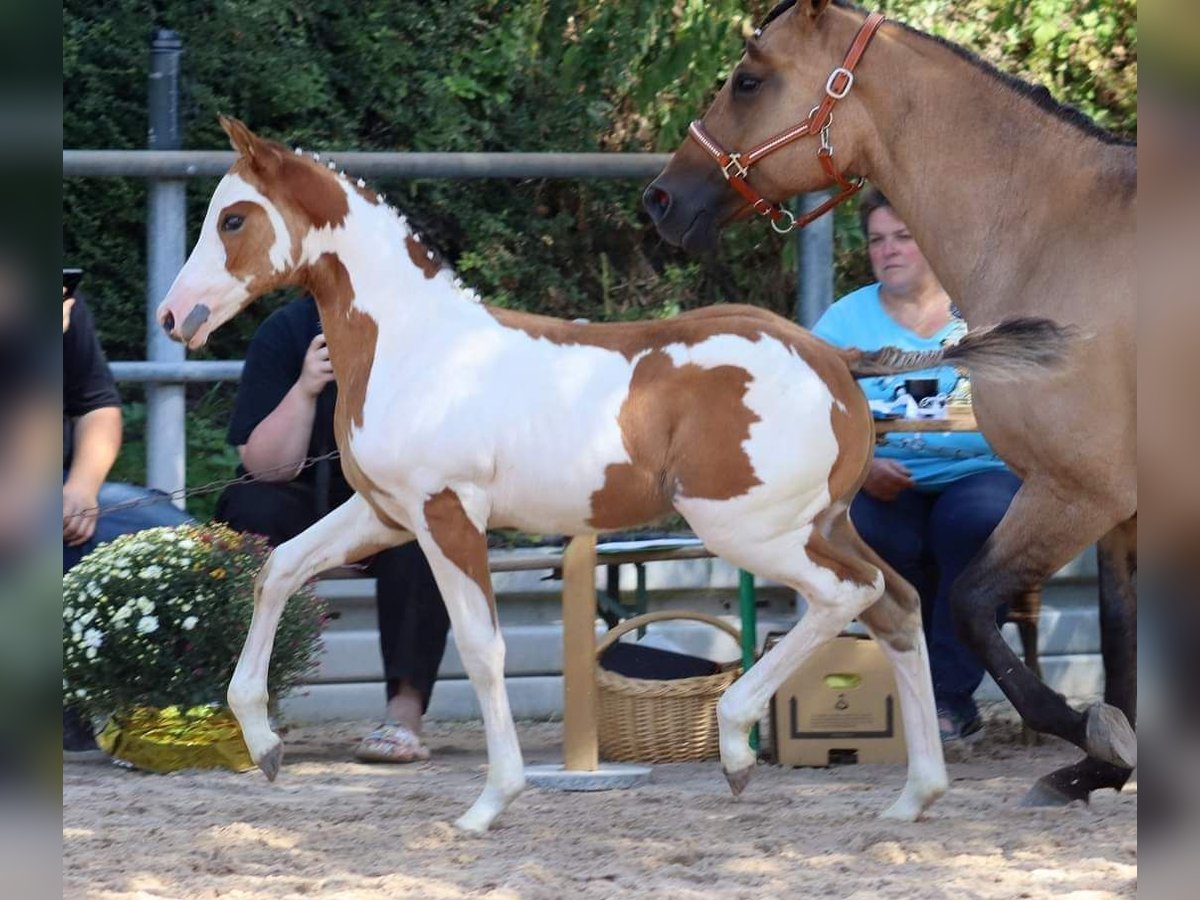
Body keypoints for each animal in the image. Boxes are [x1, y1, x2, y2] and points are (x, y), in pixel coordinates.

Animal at [157, 116, 1070, 835]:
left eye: (233, 218)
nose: (174, 316)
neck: (417, 348)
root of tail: (831, 357)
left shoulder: (447, 516)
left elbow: (481, 649)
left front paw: (489, 803)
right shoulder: (384, 513)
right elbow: (277, 570)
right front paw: (266, 745)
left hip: (747, 529)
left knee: (848, 597)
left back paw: (738, 744)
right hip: (822, 522)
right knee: (899, 603)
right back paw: (915, 795)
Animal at [648, 0, 1132, 806]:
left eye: (749, 80)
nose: (660, 198)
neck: (1060, 239)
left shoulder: (1078, 491)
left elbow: (968, 605)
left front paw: (1089, 737)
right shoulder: (1116, 514)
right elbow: (1119, 645)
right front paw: (1098, 766)